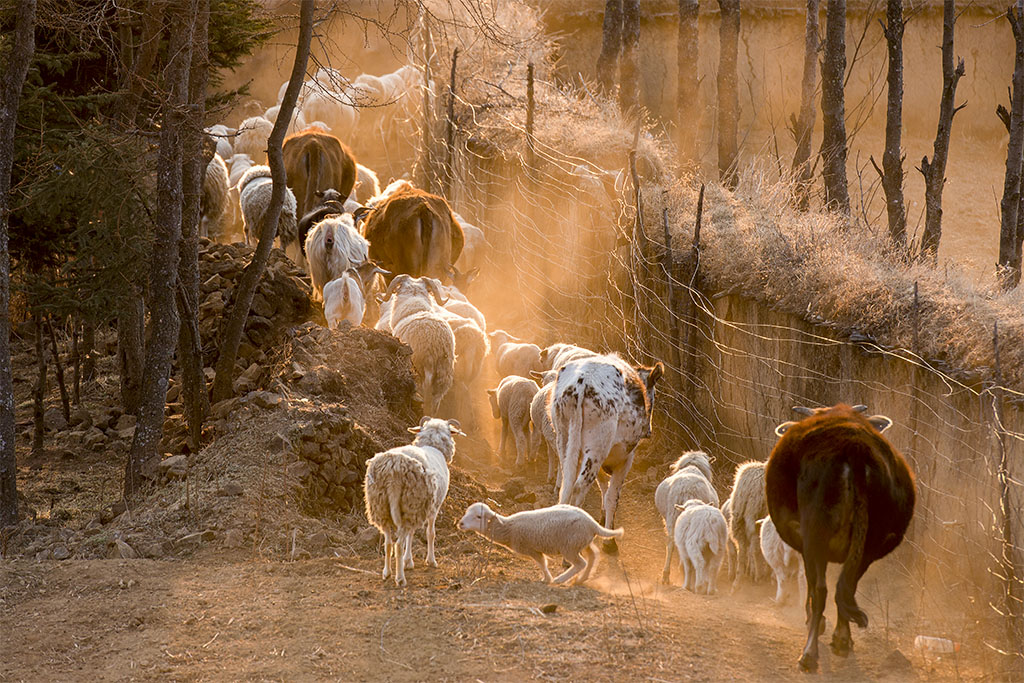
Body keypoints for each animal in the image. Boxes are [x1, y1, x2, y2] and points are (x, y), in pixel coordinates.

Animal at [364, 417, 464, 589]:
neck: (432, 446)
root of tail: (393, 474)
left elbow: (411, 535)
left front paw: (408, 561)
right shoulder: (433, 506)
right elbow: (430, 533)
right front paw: (430, 561)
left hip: (382, 505)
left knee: (388, 543)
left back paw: (387, 573)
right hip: (411, 501)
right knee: (398, 544)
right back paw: (400, 579)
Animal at [458, 501, 622, 589]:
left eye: (479, 516)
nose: (460, 523)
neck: (508, 528)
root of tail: (592, 523)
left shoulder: (531, 549)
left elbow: (542, 564)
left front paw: (547, 579)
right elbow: (542, 564)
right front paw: (546, 578)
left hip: (569, 546)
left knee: (580, 563)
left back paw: (561, 579)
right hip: (582, 542)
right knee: (593, 556)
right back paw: (582, 579)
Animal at [765, 403, 917, 675]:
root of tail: (855, 446)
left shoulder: (805, 544)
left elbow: (812, 586)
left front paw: (814, 623)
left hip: (815, 536)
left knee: (822, 590)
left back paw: (809, 654)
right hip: (870, 544)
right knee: (846, 587)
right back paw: (843, 639)